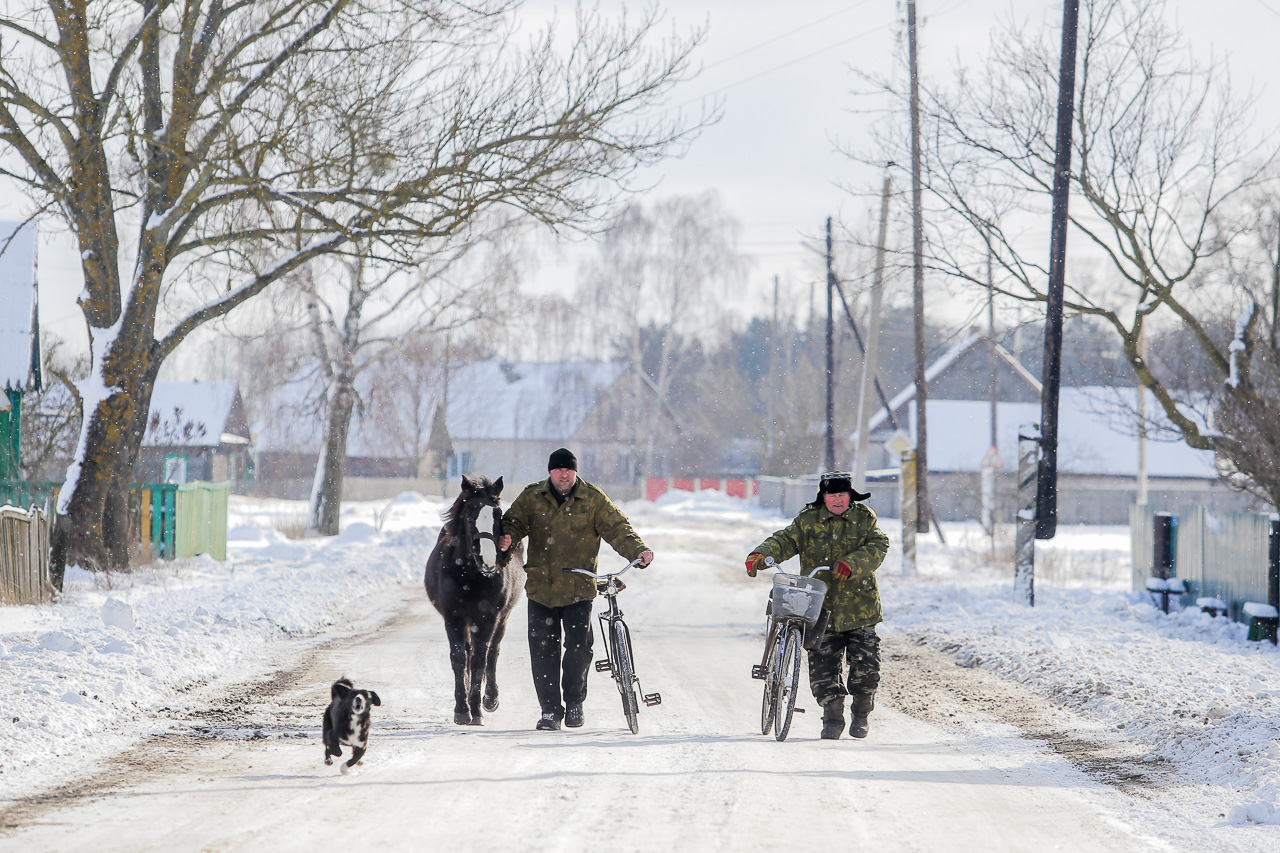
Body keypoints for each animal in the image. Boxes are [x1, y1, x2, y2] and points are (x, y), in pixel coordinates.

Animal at [427, 473, 522, 722]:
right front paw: (462, 710)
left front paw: (477, 709)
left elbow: (481, 658)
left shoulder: (489, 617)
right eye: (470, 516)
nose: (489, 562)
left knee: (492, 652)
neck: (470, 575)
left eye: (498, 514)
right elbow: (460, 657)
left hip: (502, 619)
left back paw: (490, 699)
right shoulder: (454, 617)